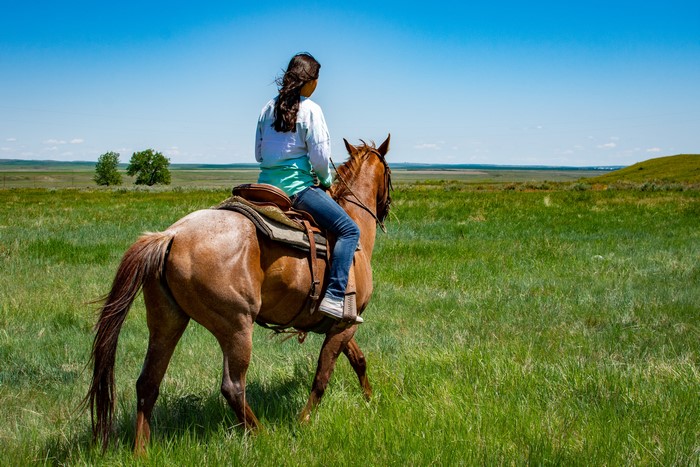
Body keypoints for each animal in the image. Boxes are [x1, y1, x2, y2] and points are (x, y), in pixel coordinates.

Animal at [85, 135, 392, 454]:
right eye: (389, 173)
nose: (386, 210)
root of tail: (170, 236)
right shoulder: (345, 324)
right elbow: (323, 375)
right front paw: (304, 421)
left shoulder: (339, 324)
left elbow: (358, 360)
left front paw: (371, 401)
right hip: (236, 327)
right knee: (232, 386)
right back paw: (263, 437)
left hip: (166, 322)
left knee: (148, 382)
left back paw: (141, 451)